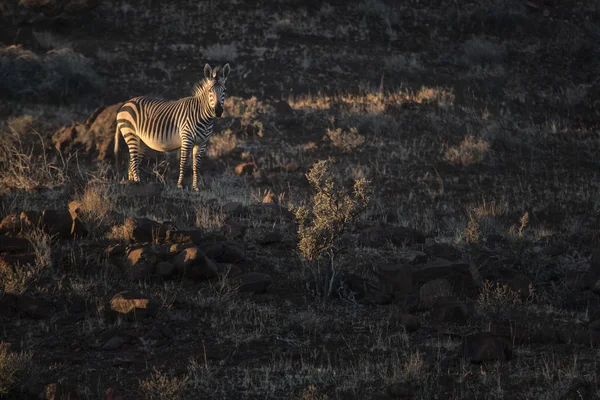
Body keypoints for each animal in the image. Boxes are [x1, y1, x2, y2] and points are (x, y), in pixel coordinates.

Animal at [114, 63, 230, 191]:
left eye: (224, 90)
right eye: (210, 90)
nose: (218, 111)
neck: (204, 117)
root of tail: (126, 102)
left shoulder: (202, 143)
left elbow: (196, 165)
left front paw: (195, 187)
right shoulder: (187, 139)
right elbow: (184, 163)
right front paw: (180, 185)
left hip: (141, 141)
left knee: (132, 162)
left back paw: (132, 183)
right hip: (130, 133)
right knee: (134, 160)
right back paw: (137, 182)